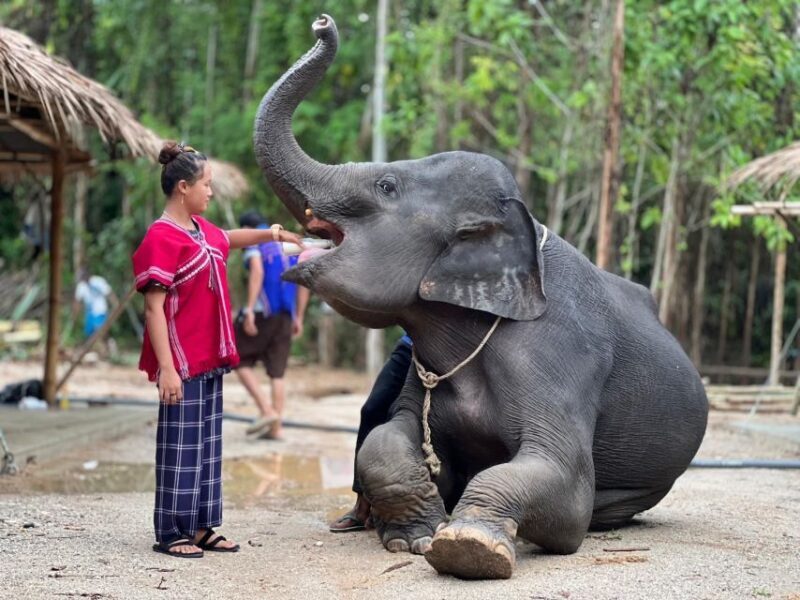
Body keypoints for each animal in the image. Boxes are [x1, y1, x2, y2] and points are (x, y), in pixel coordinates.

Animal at [253, 15, 708, 580]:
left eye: (386, 185)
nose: (322, 22)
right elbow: (385, 437)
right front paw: (413, 537)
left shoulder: (560, 356)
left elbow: (567, 488)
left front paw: (468, 546)